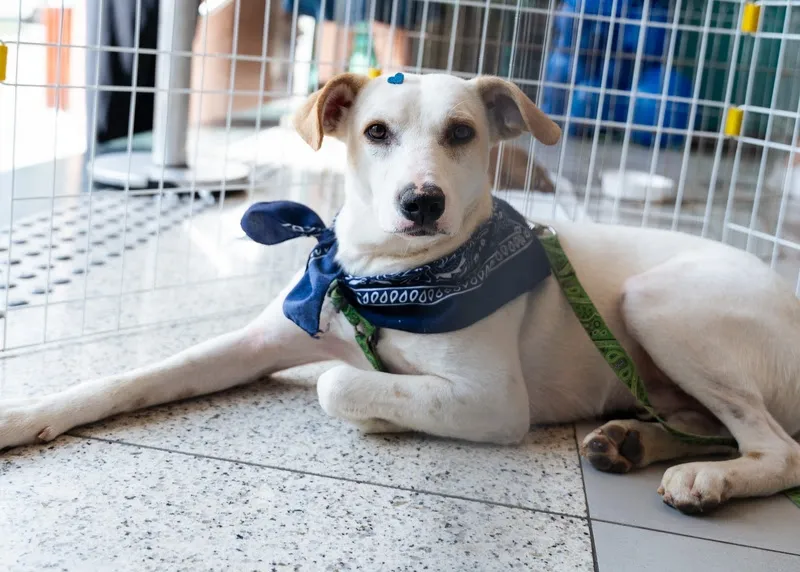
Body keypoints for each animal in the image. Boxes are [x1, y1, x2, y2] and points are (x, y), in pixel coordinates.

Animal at [1, 71, 800, 512]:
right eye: (376, 131)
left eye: (462, 132)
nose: (422, 202)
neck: (381, 277)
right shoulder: (258, 339)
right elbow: (136, 376)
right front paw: (28, 414)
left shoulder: (493, 401)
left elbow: (339, 385)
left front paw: (385, 413)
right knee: (709, 423)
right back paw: (633, 442)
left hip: (658, 302)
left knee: (778, 449)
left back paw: (706, 479)